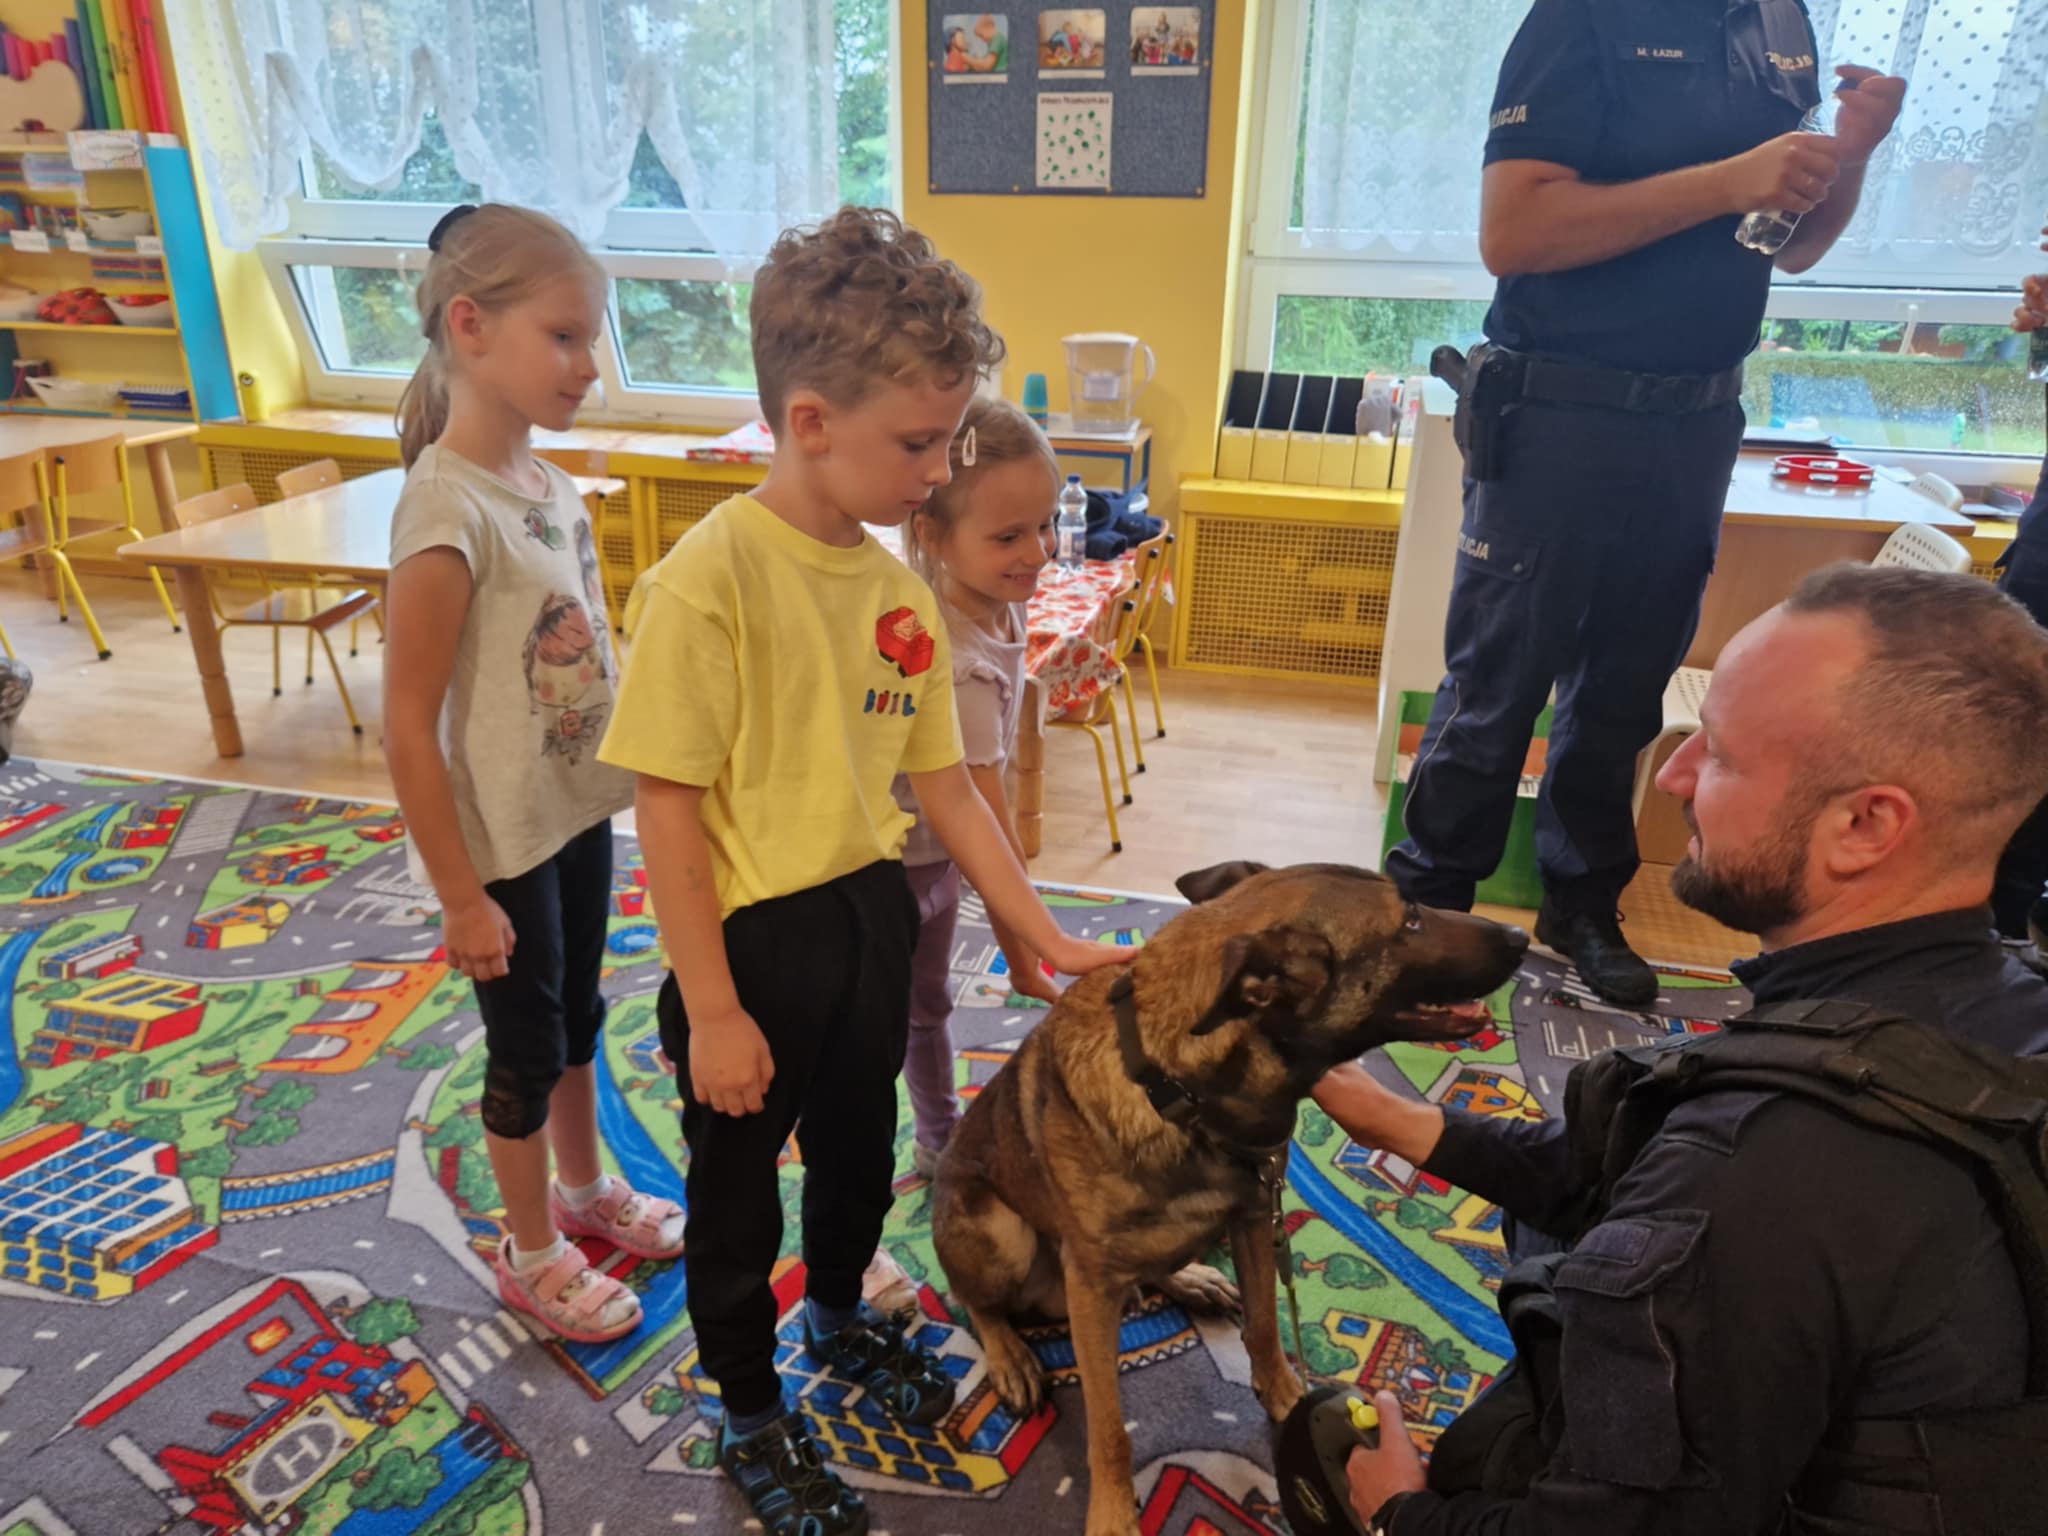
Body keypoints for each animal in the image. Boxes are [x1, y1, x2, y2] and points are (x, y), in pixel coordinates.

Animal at [931, 861, 1529, 1536]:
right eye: (1410, 921)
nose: (1520, 938)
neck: (1180, 1090)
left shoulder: (1253, 1217)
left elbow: (1266, 1326)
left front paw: (1289, 1399)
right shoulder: (1091, 1281)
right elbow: (1109, 1430)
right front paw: (1112, 1512)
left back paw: (1190, 1277)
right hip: (1001, 1231)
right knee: (978, 1301)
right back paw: (1010, 1354)